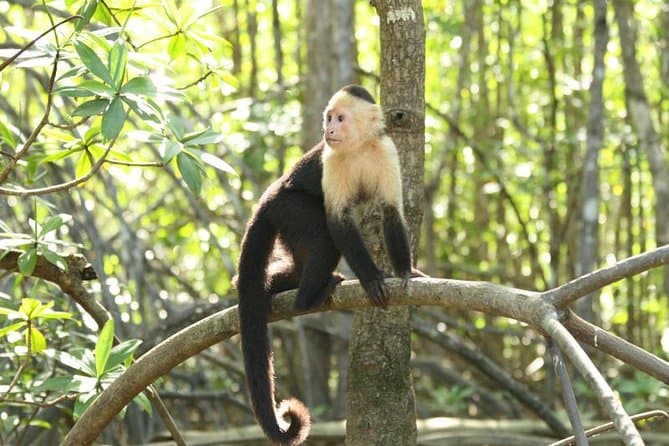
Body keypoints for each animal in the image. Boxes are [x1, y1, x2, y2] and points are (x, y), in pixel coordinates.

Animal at [235, 84, 412, 446]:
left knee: (293, 268)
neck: (358, 148)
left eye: (339, 118)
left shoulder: (385, 151)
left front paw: (405, 272)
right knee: (321, 233)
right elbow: (337, 222)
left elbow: (390, 212)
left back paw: (280, 286)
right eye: (329, 118)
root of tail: (270, 194)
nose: (328, 129)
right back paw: (310, 297)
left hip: (286, 222)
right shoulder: (332, 160)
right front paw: (372, 278)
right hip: (290, 207)